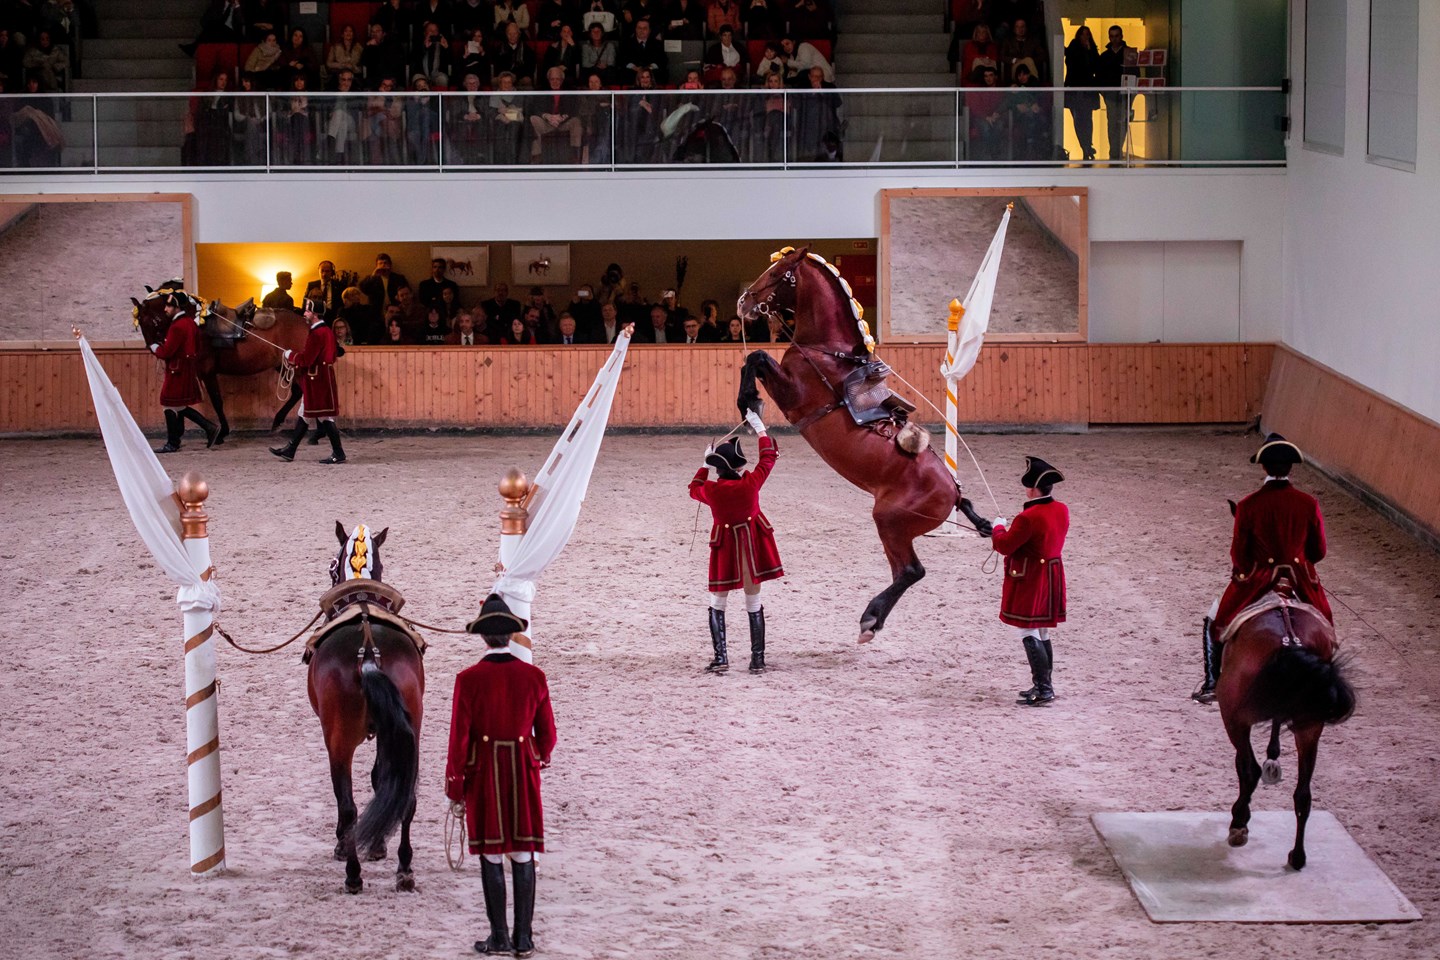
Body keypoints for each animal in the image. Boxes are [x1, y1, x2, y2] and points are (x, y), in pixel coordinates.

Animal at [309, 526, 426, 892]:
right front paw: (378, 846)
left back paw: (352, 873)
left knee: (347, 806)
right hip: (409, 734)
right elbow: (379, 778)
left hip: (339, 742)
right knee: (407, 798)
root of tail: (369, 655)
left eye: (332, 566)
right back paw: (405, 870)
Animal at [737, 244, 996, 641]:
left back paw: (870, 619)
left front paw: (749, 400)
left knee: (911, 570)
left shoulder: (794, 395)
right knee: (907, 572)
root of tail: (953, 492)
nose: (744, 301)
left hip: (889, 521)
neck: (825, 349)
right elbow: (754, 359)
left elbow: (757, 357)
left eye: (777, 273)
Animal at [1221, 581, 1353, 875]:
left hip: (1235, 716)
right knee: (1303, 794)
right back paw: (1298, 856)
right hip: (1309, 726)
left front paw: (1241, 821)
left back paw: (1238, 824)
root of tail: (1290, 640)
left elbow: (1244, 766)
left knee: (1251, 768)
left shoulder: (1239, 719)